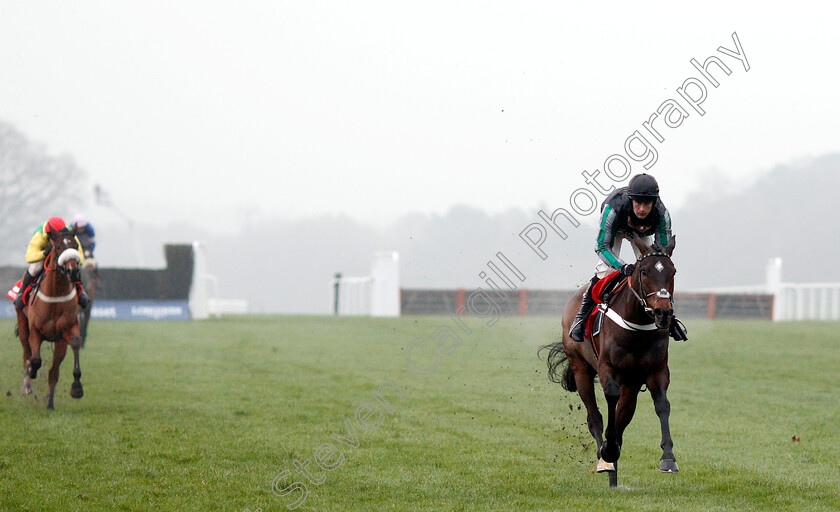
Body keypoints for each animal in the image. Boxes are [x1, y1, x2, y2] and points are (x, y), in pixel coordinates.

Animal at [540, 234, 680, 486]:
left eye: (672, 271)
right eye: (644, 271)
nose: (663, 313)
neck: (637, 326)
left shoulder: (655, 371)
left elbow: (662, 405)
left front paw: (668, 459)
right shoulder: (608, 368)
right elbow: (610, 402)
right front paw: (607, 452)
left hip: (631, 384)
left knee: (622, 418)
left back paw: (613, 471)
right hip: (580, 368)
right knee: (594, 416)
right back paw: (605, 459)